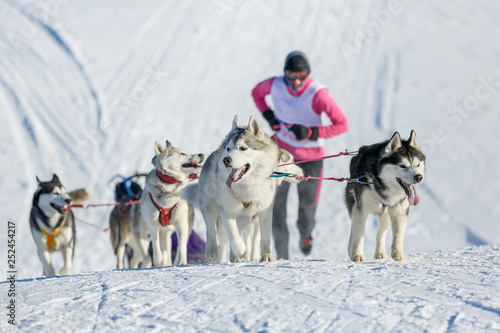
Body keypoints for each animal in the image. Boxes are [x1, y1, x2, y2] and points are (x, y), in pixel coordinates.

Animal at [185, 115, 282, 262]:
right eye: (228, 149)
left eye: (243, 148)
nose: (226, 160)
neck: (247, 187)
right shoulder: (225, 208)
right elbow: (233, 235)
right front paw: (241, 250)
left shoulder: (265, 210)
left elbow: (265, 236)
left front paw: (267, 256)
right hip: (210, 206)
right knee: (211, 229)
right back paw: (212, 251)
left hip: (245, 217)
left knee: (239, 229)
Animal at [346, 131, 428, 260]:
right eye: (402, 166)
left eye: (417, 164)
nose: (418, 177)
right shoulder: (361, 210)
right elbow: (359, 235)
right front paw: (357, 255)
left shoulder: (400, 211)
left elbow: (399, 234)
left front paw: (397, 252)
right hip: (354, 207)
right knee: (353, 227)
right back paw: (351, 249)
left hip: (388, 213)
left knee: (381, 233)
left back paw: (380, 252)